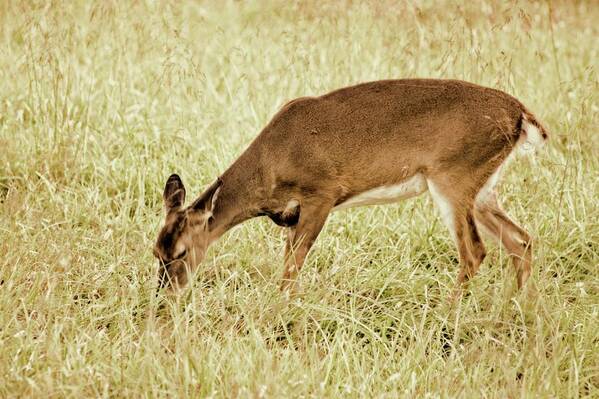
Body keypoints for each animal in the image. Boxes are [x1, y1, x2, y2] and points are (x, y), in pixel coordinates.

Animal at [154, 79, 548, 296]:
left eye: (181, 253)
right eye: (157, 252)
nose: (165, 295)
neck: (271, 161)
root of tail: (520, 114)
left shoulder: (321, 194)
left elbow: (292, 266)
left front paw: (282, 310)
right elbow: (289, 262)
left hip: (454, 179)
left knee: (475, 252)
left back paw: (448, 316)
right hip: (484, 189)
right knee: (521, 240)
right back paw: (517, 309)